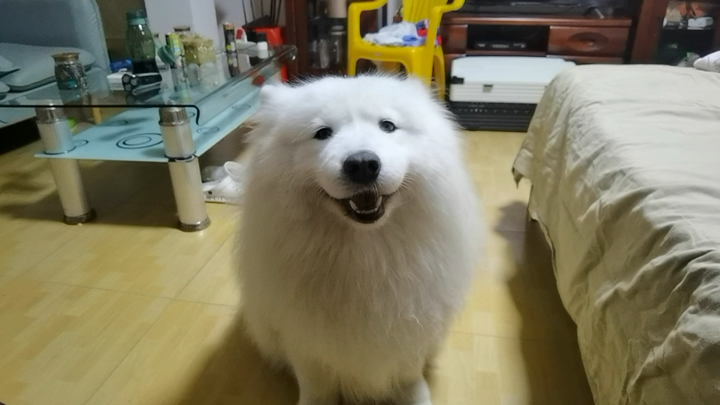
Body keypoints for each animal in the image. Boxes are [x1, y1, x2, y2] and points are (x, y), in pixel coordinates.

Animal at [238, 75, 484, 404]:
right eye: (322, 133)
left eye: (388, 126)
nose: (363, 163)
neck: (365, 252)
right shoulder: (303, 336)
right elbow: (314, 381)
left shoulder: (411, 326)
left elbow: (408, 372)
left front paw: (413, 395)